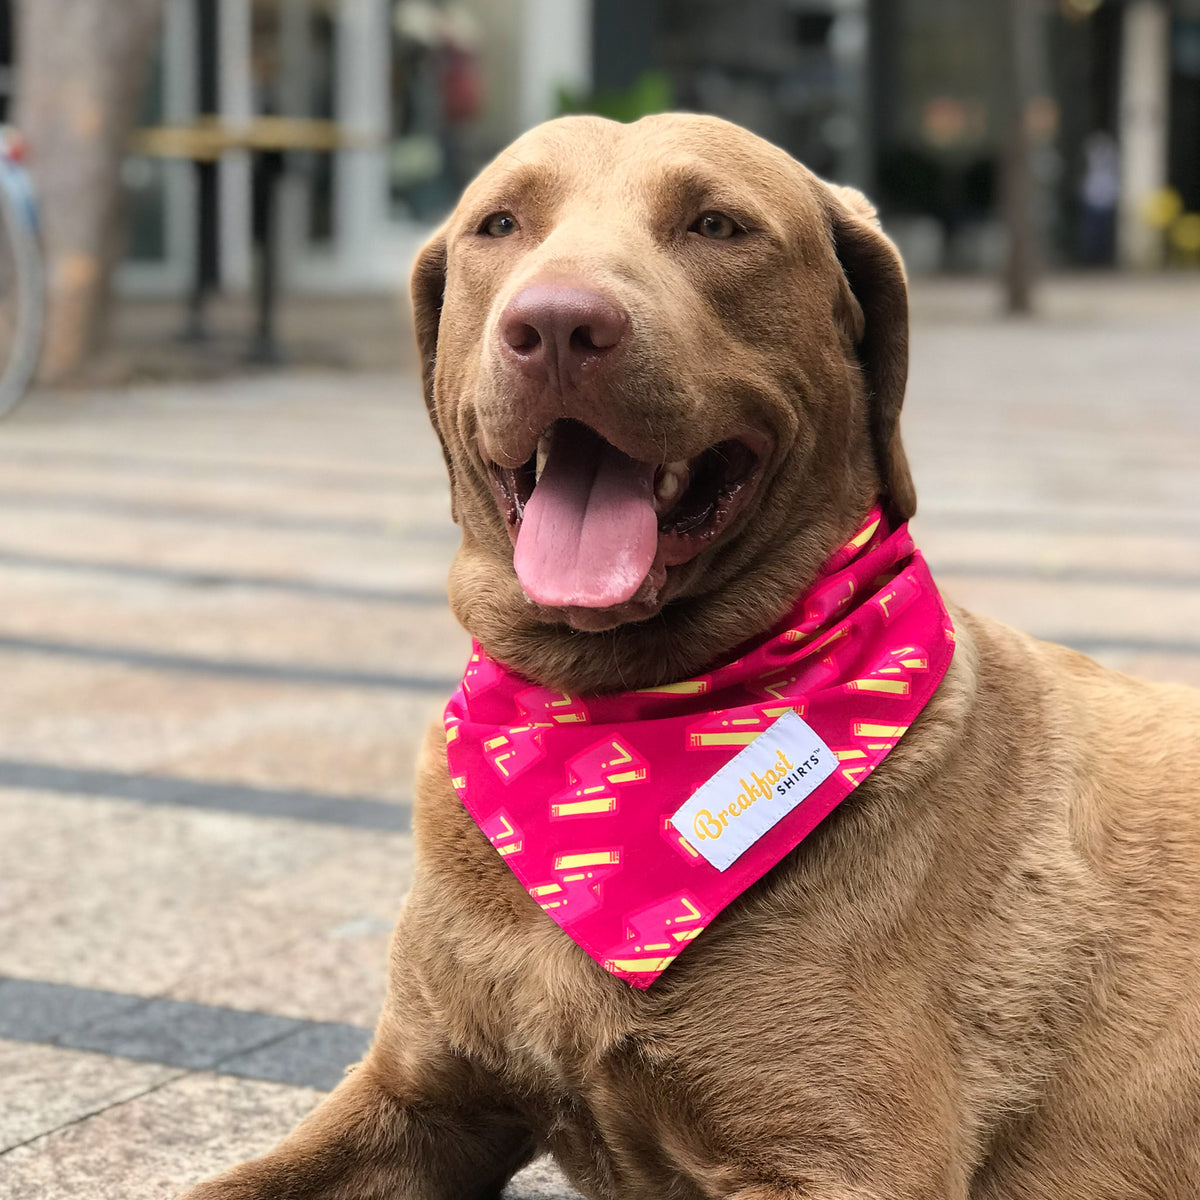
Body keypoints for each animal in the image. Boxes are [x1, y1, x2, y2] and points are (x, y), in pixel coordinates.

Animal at [177, 114, 1200, 1200]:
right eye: (500, 223)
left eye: (716, 224)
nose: (558, 325)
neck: (611, 713)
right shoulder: (419, 1099)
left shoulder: (843, 1165)